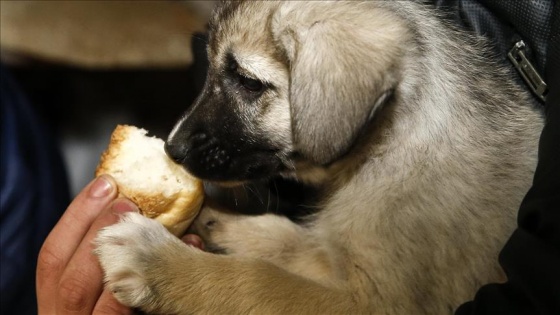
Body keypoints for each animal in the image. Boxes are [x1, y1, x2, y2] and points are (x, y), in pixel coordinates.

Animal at [95, 1, 544, 314]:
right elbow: (284, 239)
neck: (385, 148)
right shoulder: (336, 255)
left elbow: (259, 281)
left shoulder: (379, 301)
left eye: (249, 82)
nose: (172, 148)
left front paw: (158, 262)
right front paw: (216, 218)